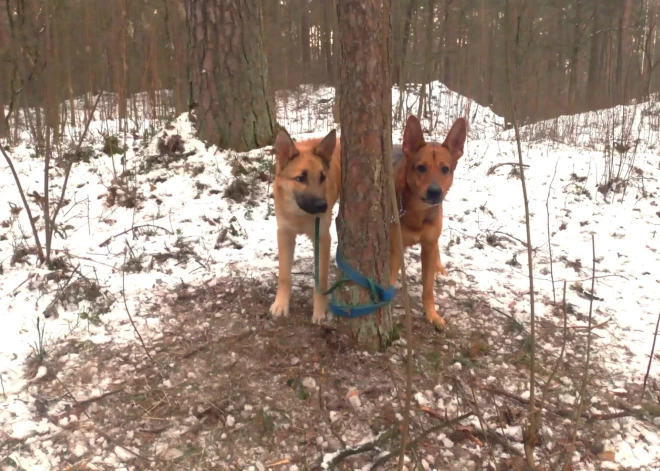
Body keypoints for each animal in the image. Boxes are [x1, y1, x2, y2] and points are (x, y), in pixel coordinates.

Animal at [268, 131, 340, 326]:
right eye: (301, 178)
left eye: (322, 177)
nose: (323, 206)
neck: (300, 214)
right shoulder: (284, 234)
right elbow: (284, 275)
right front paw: (281, 304)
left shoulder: (322, 238)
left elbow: (321, 279)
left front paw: (319, 311)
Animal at [390, 115, 466, 328]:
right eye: (421, 168)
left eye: (445, 169)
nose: (434, 192)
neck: (417, 211)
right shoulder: (395, 246)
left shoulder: (429, 245)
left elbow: (428, 288)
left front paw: (432, 314)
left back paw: (440, 267)